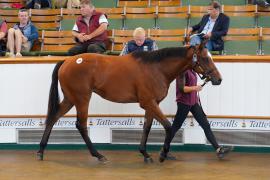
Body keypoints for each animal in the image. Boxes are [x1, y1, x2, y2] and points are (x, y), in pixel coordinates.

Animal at [37, 40, 221, 163]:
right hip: (82, 99)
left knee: (53, 118)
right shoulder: (148, 103)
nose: (219, 79)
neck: (156, 68)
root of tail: (68, 61)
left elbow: (147, 127)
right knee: (81, 125)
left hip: (70, 99)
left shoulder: (152, 104)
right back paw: (98, 155)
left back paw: (41, 151)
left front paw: (145, 153)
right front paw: (163, 154)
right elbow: (169, 127)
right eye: (205, 58)